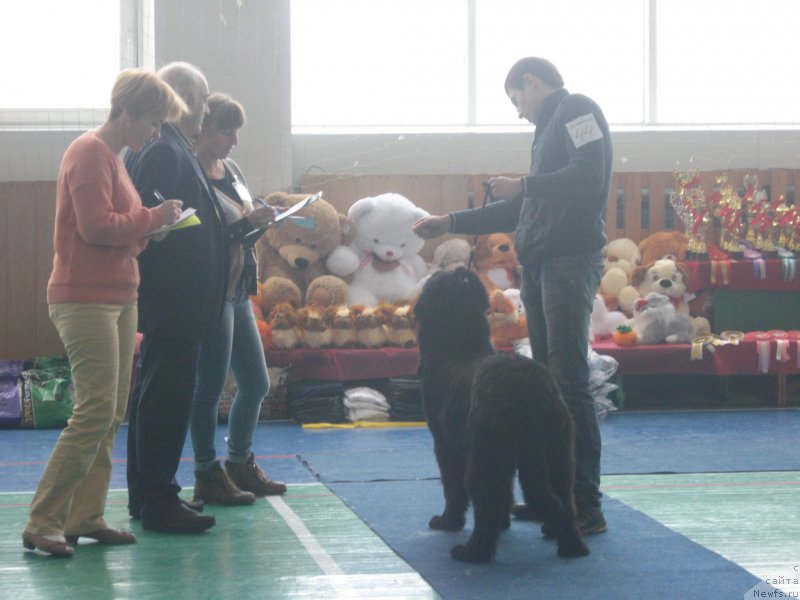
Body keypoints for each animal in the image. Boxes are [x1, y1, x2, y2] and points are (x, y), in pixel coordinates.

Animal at [412, 268, 588, 564]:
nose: (457, 270)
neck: (458, 347)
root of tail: (527, 386)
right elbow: (506, 491)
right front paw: (505, 523)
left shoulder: (445, 446)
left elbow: (452, 488)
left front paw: (447, 522)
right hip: (559, 451)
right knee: (564, 499)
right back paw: (571, 544)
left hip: (484, 452)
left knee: (484, 501)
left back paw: (471, 552)